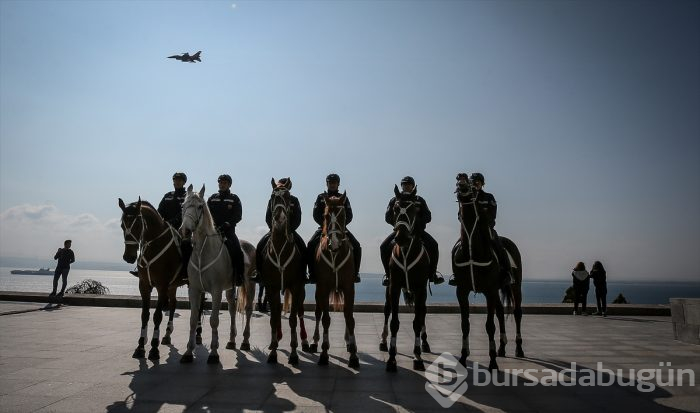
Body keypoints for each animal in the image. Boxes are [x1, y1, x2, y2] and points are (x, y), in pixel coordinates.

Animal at [119, 198, 187, 358]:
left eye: (138, 225)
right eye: (122, 225)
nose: (128, 257)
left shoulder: (162, 286)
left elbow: (157, 316)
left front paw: (154, 348)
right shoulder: (144, 286)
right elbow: (145, 315)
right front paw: (140, 346)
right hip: (173, 286)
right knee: (173, 304)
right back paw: (167, 334)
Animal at [179, 185, 256, 362]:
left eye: (200, 206)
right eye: (183, 206)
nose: (185, 230)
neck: (203, 252)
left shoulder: (215, 291)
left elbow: (214, 320)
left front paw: (214, 353)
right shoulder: (194, 290)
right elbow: (193, 320)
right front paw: (188, 352)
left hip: (250, 284)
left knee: (248, 309)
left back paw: (245, 341)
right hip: (230, 288)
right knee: (233, 309)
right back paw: (232, 341)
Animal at [308, 192, 358, 366]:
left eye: (343, 215)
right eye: (325, 215)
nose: (334, 243)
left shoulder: (349, 288)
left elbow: (349, 318)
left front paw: (354, 354)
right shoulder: (323, 288)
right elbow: (325, 319)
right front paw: (324, 352)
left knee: (346, 313)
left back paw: (348, 341)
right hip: (318, 291)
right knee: (318, 313)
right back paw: (314, 342)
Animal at [382, 185, 432, 372]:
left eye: (414, 209)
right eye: (395, 208)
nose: (401, 237)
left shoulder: (420, 288)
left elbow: (417, 321)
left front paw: (418, 357)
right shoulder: (395, 287)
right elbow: (394, 322)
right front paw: (391, 358)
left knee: (423, 312)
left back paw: (425, 343)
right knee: (387, 310)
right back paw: (383, 341)